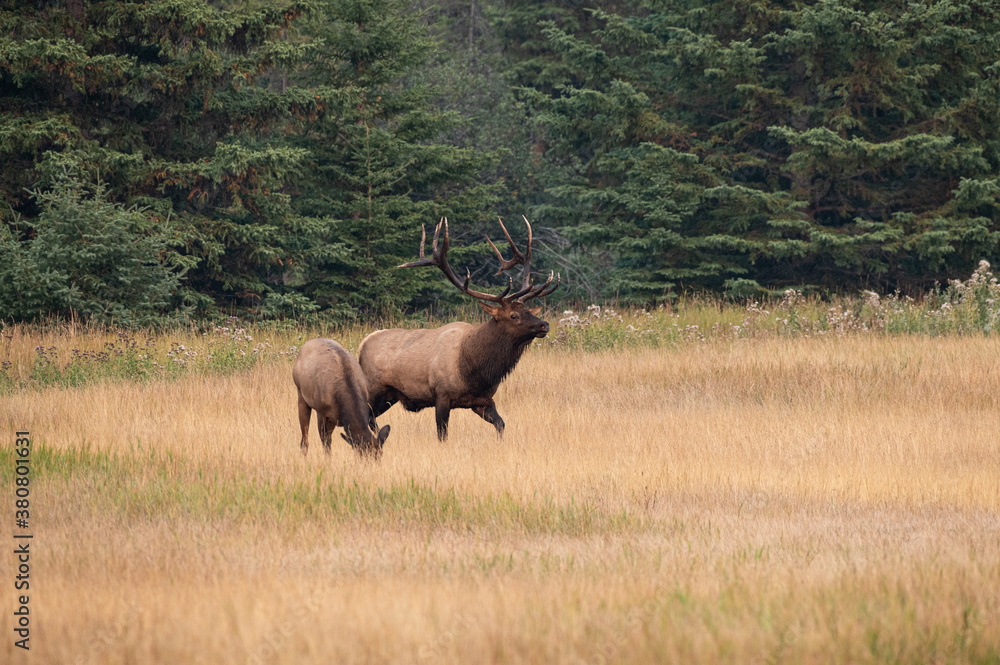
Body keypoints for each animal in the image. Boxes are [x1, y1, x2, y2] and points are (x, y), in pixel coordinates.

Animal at [358, 216, 559, 441]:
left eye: (528, 311)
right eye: (513, 315)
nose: (544, 324)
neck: (475, 370)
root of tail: (362, 344)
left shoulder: (482, 401)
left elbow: (501, 424)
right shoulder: (441, 395)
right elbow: (442, 434)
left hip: (389, 396)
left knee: (371, 418)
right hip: (374, 388)